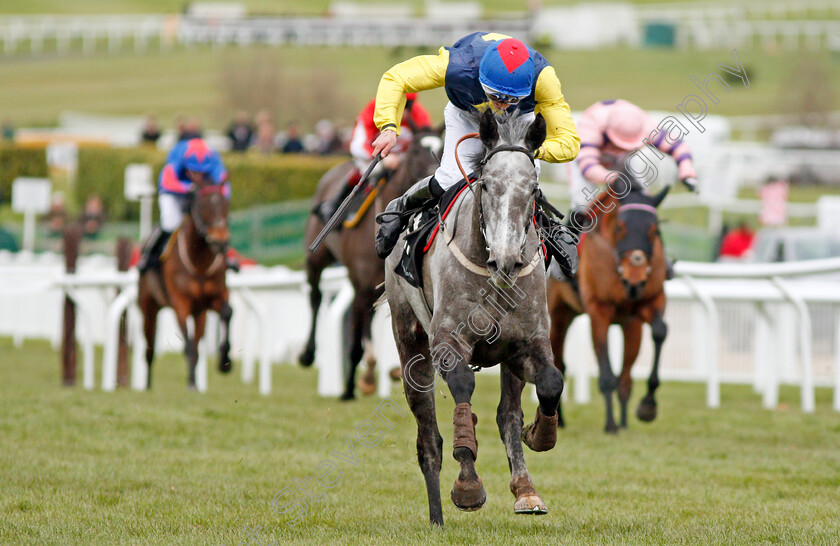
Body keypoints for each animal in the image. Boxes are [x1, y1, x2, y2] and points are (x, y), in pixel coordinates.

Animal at [139, 185, 233, 388]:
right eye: (203, 206)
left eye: (225, 205)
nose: (220, 241)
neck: (199, 262)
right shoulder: (180, 303)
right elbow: (187, 345)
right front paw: (191, 383)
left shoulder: (213, 298)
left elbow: (227, 312)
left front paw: (225, 361)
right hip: (148, 307)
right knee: (149, 347)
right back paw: (147, 385)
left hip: (199, 313)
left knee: (196, 343)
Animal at [296, 126, 440, 400]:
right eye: (417, 150)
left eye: (443, 145)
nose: (434, 175)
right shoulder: (361, 286)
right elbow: (356, 343)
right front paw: (352, 387)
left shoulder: (385, 287)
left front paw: (384, 372)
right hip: (317, 258)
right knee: (316, 297)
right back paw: (308, 354)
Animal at [386, 109, 564, 524]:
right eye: (486, 185)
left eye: (533, 190)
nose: (507, 261)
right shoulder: (447, 340)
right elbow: (463, 387)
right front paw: (468, 485)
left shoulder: (528, 341)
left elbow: (550, 382)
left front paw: (540, 435)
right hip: (408, 340)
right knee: (428, 439)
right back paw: (436, 517)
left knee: (507, 413)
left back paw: (525, 489)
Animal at [548, 176, 672, 432]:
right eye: (620, 228)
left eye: (654, 231)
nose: (634, 281)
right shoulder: (599, 311)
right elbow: (606, 373)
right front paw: (610, 424)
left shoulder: (650, 302)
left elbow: (659, 331)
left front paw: (647, 405)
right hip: (559, 313)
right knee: (559, 363)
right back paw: (559, 420)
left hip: (629, 325)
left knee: (625, 376)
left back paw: (624, 420)